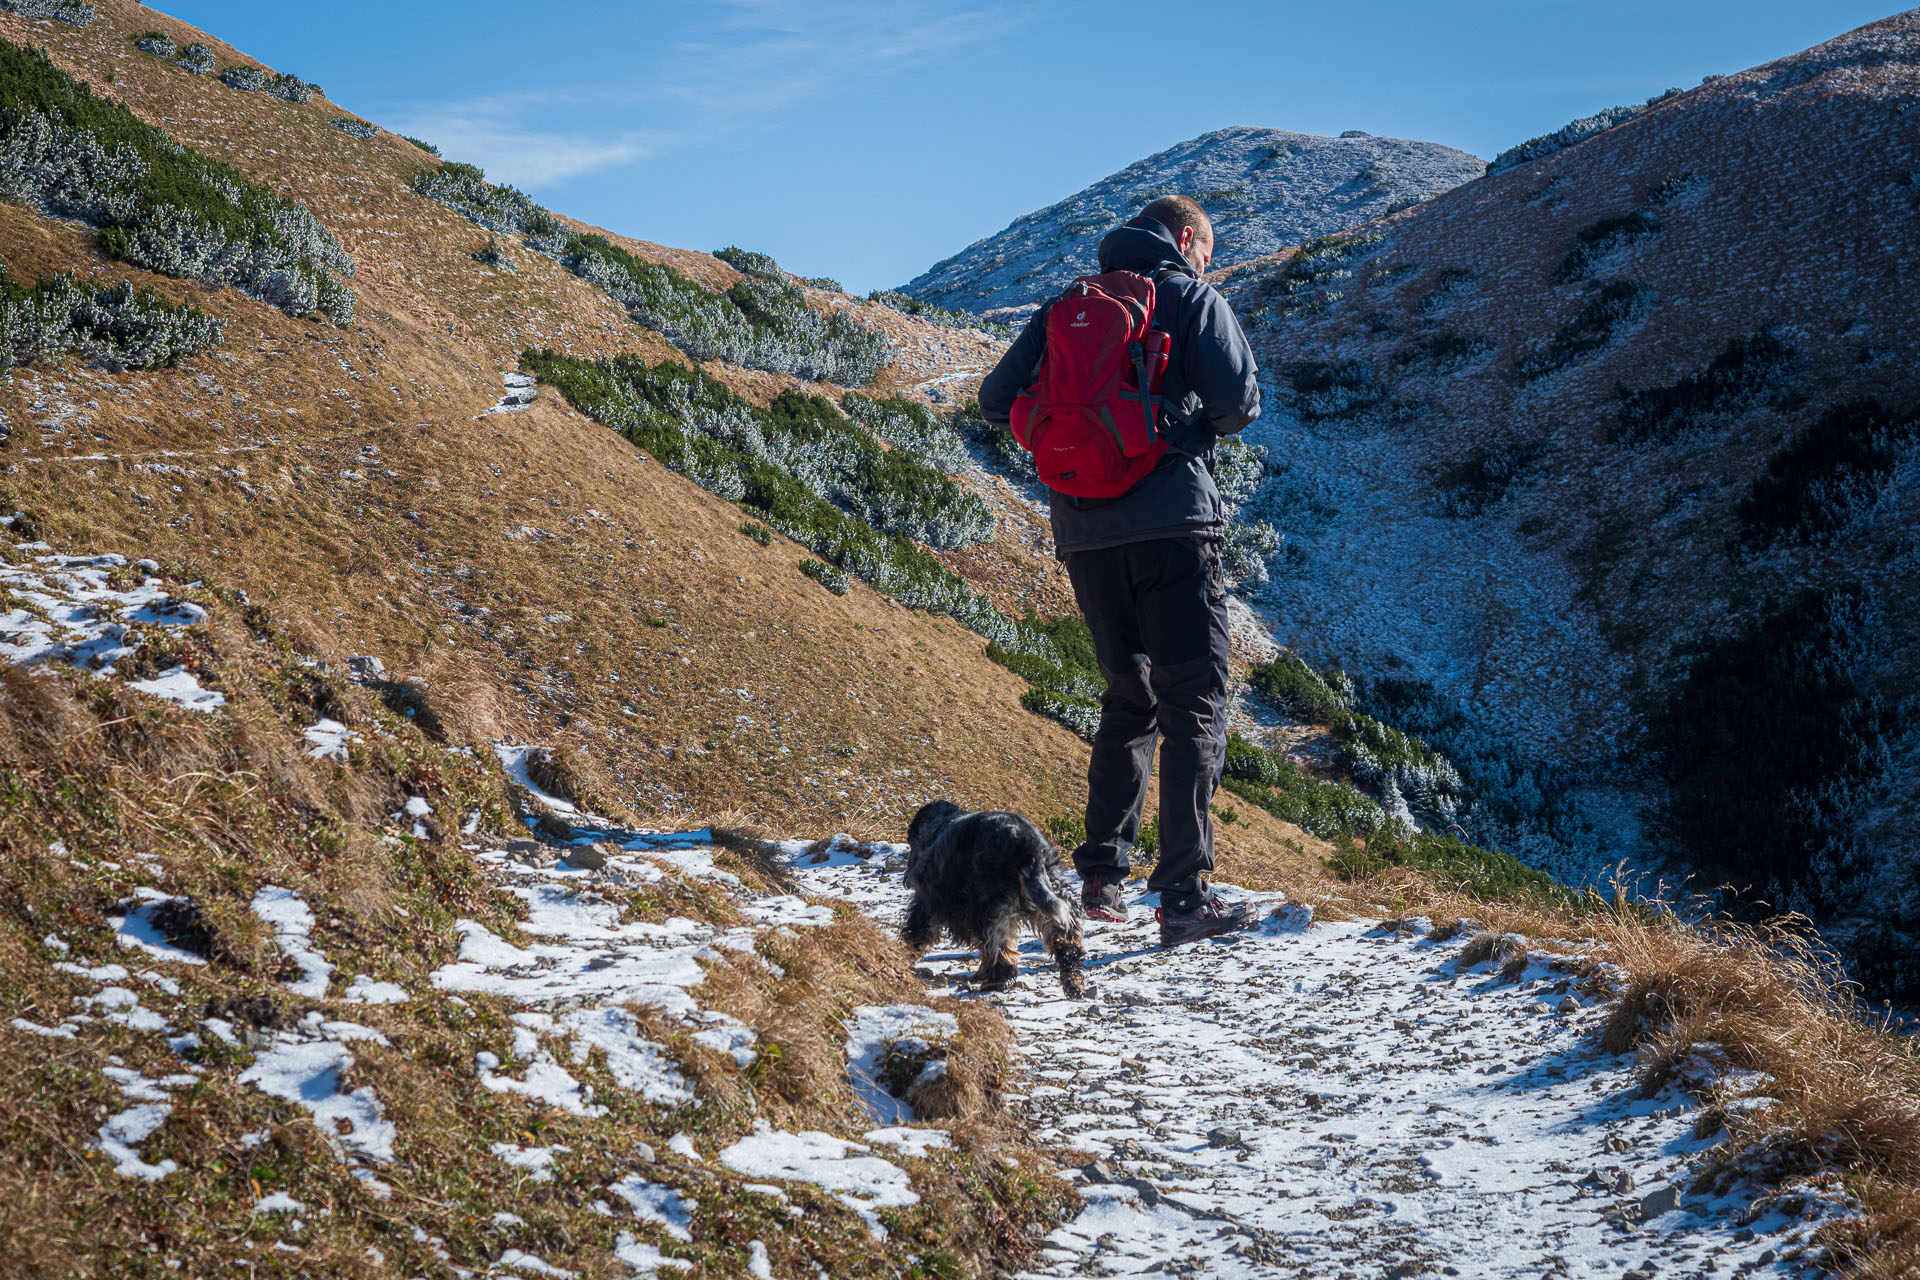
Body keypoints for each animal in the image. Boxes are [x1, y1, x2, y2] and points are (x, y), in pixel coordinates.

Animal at [894, 802, 1082, 997]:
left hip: (992, 906)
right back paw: (1073, 982)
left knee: (1000, 948)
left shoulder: (928, 900)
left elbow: (916, 932)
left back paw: (995, 982)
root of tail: (1028, 846)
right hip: (1051, 893)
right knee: (1065, 940)